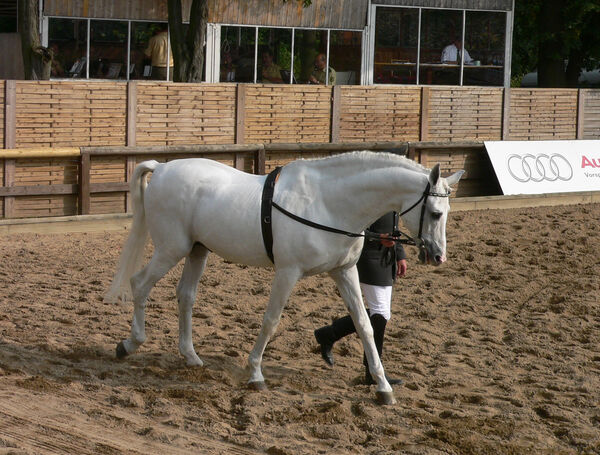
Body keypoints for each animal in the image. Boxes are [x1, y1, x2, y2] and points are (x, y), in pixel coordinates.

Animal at [104, 151, 464, 404]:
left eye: (447, 213)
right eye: (435, 213)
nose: (438, 256)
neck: (328, 203)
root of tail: (163, 167)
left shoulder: (344, 271)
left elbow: (363, 324)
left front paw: (383, 386)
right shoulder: (288, 272)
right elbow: (271, 321)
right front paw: (255, 374)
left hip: (197, 250)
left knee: (185, 295)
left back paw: (191, 356)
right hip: (171, 248)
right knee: (140, 284)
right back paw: (130, 343)